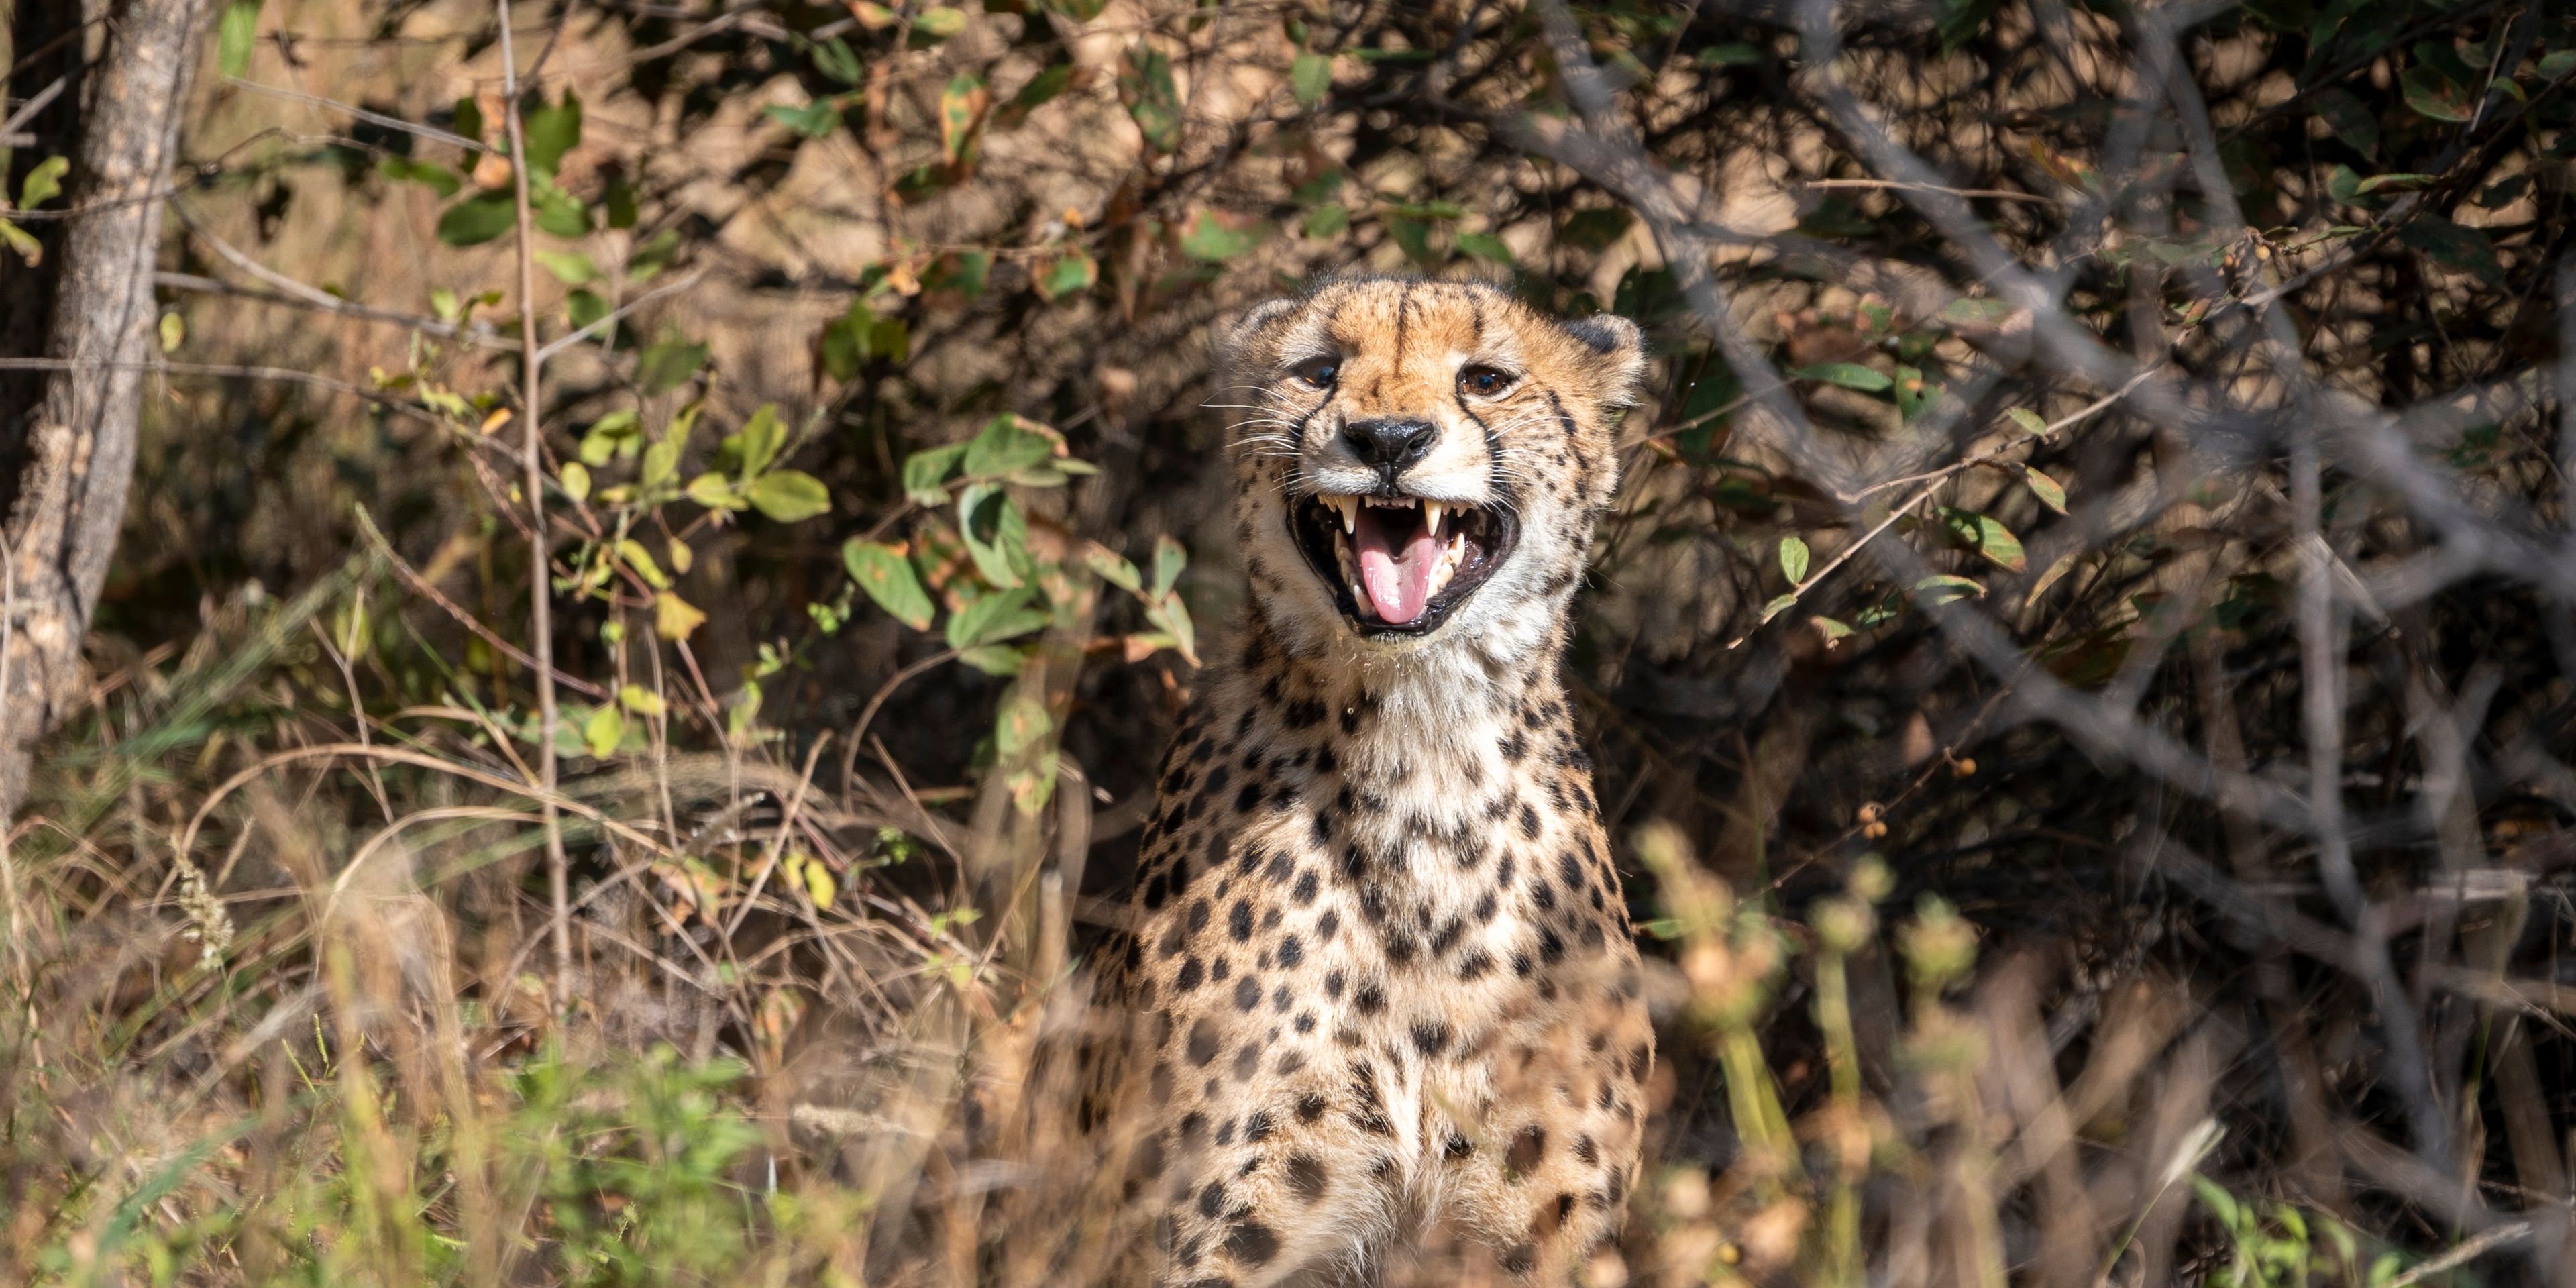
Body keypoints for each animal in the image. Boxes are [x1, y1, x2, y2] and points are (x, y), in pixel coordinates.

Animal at [1086, 276, 1655, 1287]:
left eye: (1487, 378)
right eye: (1317, 371)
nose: (1388, 440)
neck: (1420, 745)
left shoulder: (1537, 1239)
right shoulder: (1205, 1239)